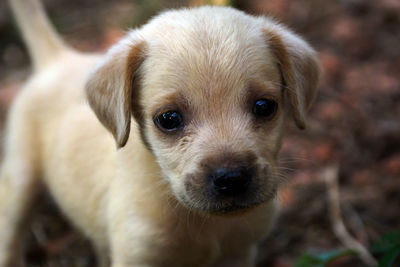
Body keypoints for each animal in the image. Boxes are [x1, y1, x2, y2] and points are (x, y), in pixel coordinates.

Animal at [0, 0, 318, 266]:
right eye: (169, 119)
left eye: (264, 106)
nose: (231, 178)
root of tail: (58, 58)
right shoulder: (138, 256)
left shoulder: (239, 253)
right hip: (21, 179)